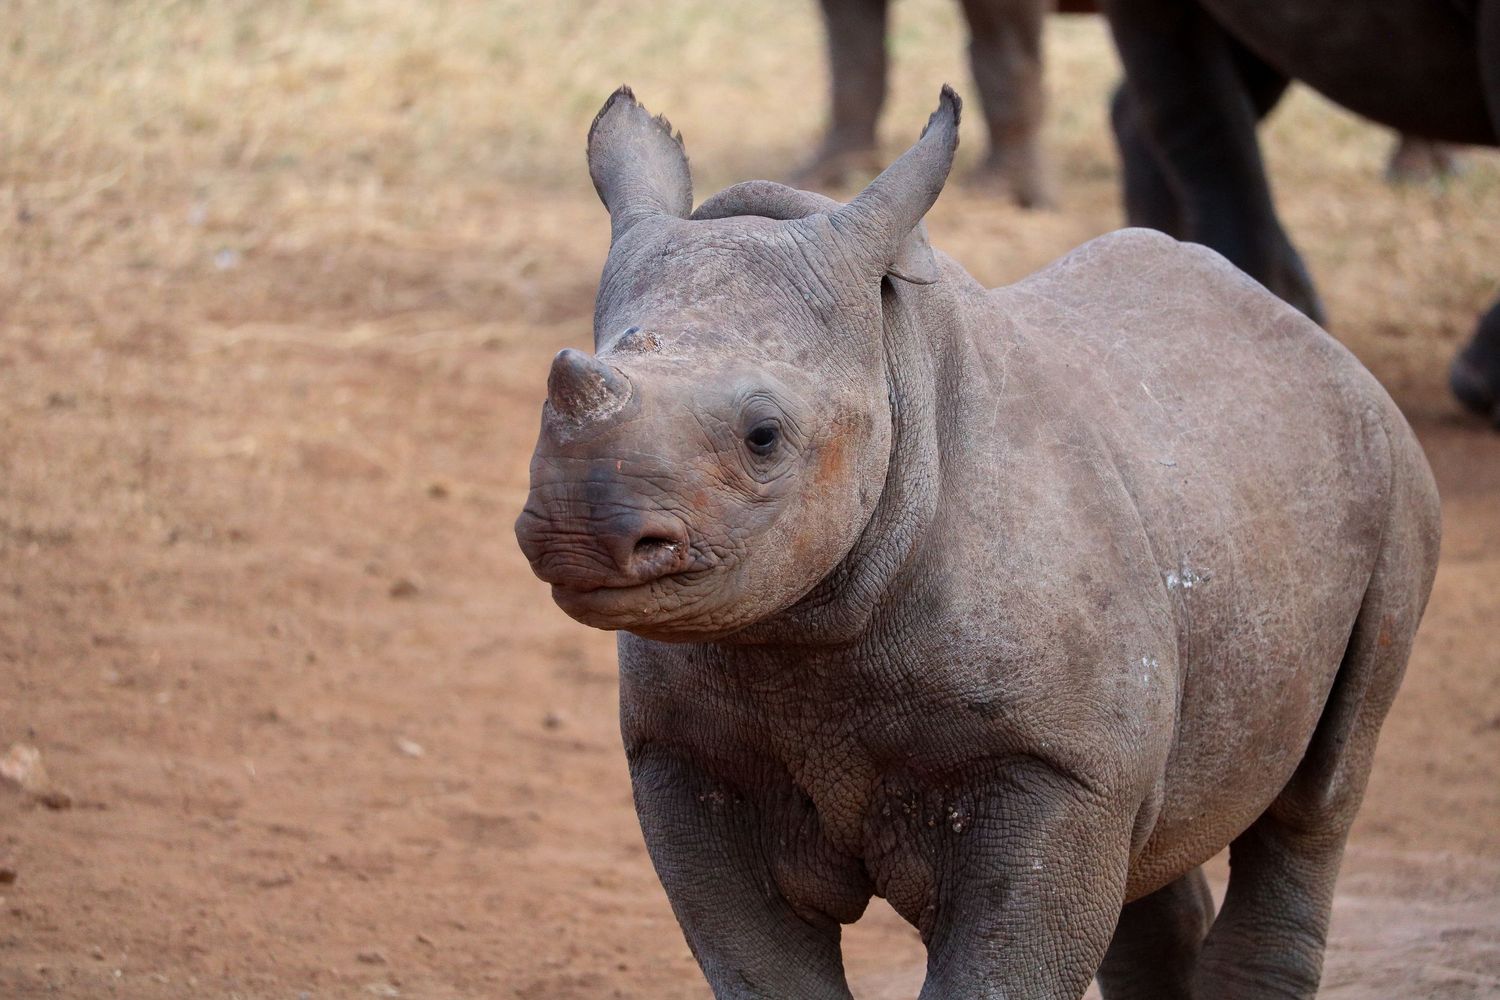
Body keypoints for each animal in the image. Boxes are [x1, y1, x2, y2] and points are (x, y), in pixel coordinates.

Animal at [515, 86, 1441, 999]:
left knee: (1320, 796)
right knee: (1151, 835)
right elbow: (758, 966)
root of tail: (1315, 340)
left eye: (764, 437)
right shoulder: (690, 759)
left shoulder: (1051, 766)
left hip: (1393, 477)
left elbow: (1004, 963)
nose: (578, 531)